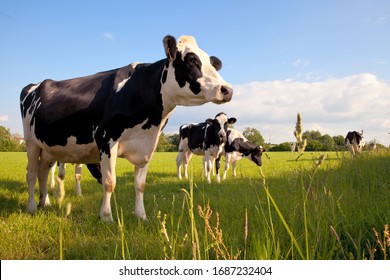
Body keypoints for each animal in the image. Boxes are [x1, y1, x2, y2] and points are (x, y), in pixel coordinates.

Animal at [19, 34, 233, 221]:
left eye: (211, 63)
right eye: (191, 61)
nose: (227, 90)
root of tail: (36, 85)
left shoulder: (147, 146)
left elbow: (140, 184)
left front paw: (141, 215)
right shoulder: (106, 140)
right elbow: (109, 182)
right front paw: (106, 217)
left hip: (48, 148)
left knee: (43, 173)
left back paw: (45, 202)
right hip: (31, 143)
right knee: (31, 174)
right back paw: (32, 207)